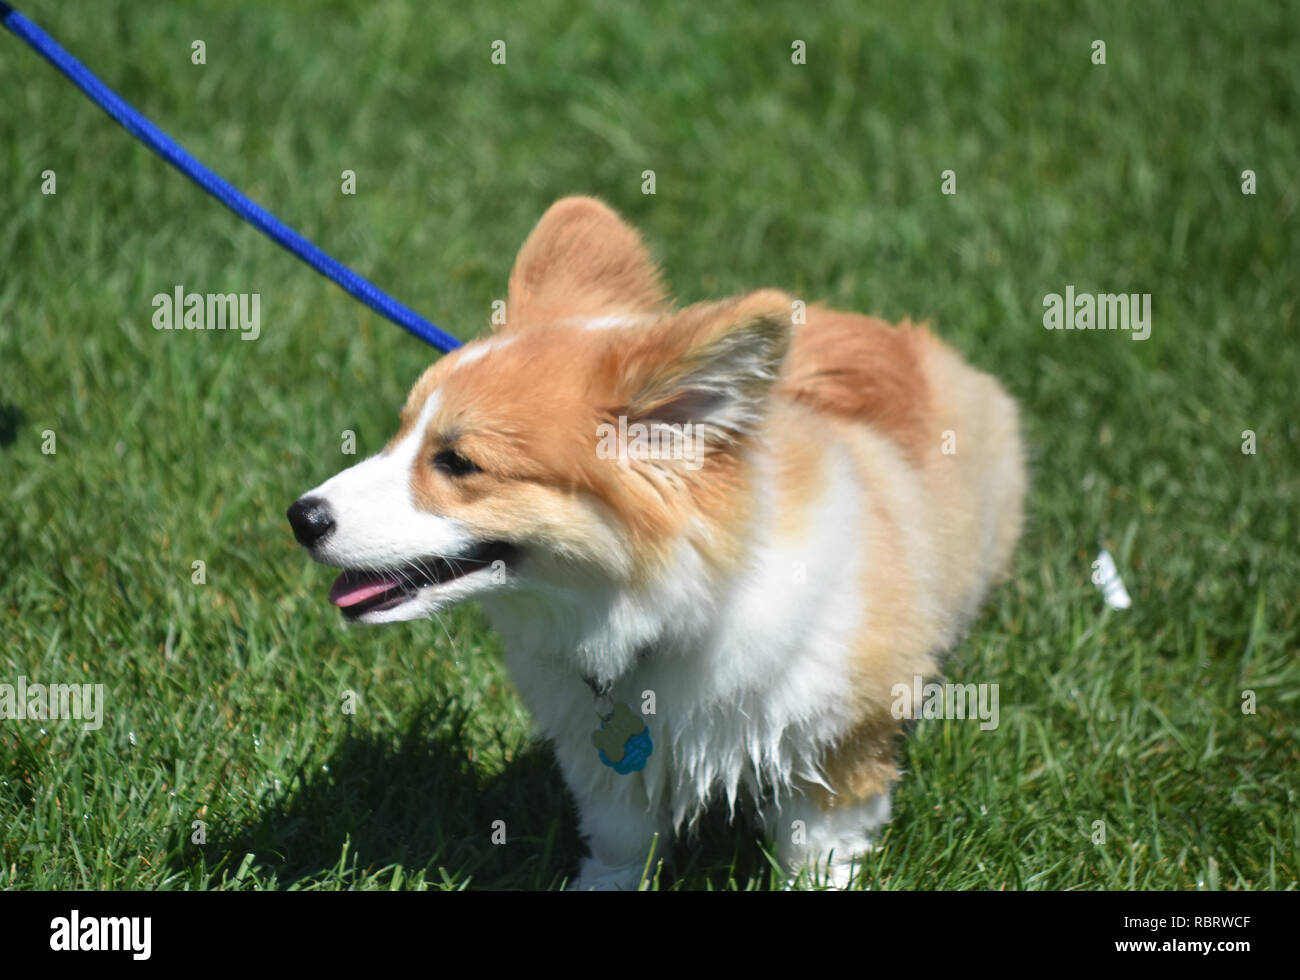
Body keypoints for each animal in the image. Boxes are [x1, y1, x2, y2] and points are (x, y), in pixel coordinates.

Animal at [284, 196, 1024, 883]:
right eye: (399, 433)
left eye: (458, 462)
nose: (300, 517)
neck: (667, 609)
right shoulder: (600, 759)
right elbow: (621, 838)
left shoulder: (842, 735)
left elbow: (820, 843)